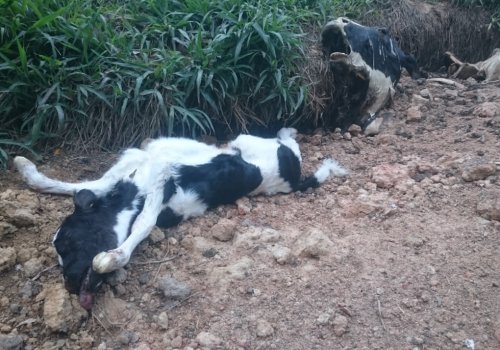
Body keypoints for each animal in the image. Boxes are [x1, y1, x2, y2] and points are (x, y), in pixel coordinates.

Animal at [13, 129, 346, 308]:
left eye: (68, 241)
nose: (69, 286)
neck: (130, 190)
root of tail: (293, 179)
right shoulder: (129, 171)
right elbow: (79, 186)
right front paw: (28, 171)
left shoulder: (160, 175)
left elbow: (142, 224)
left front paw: (112, 258)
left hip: (251, 140)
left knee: (285, 141)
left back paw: (286, 134)